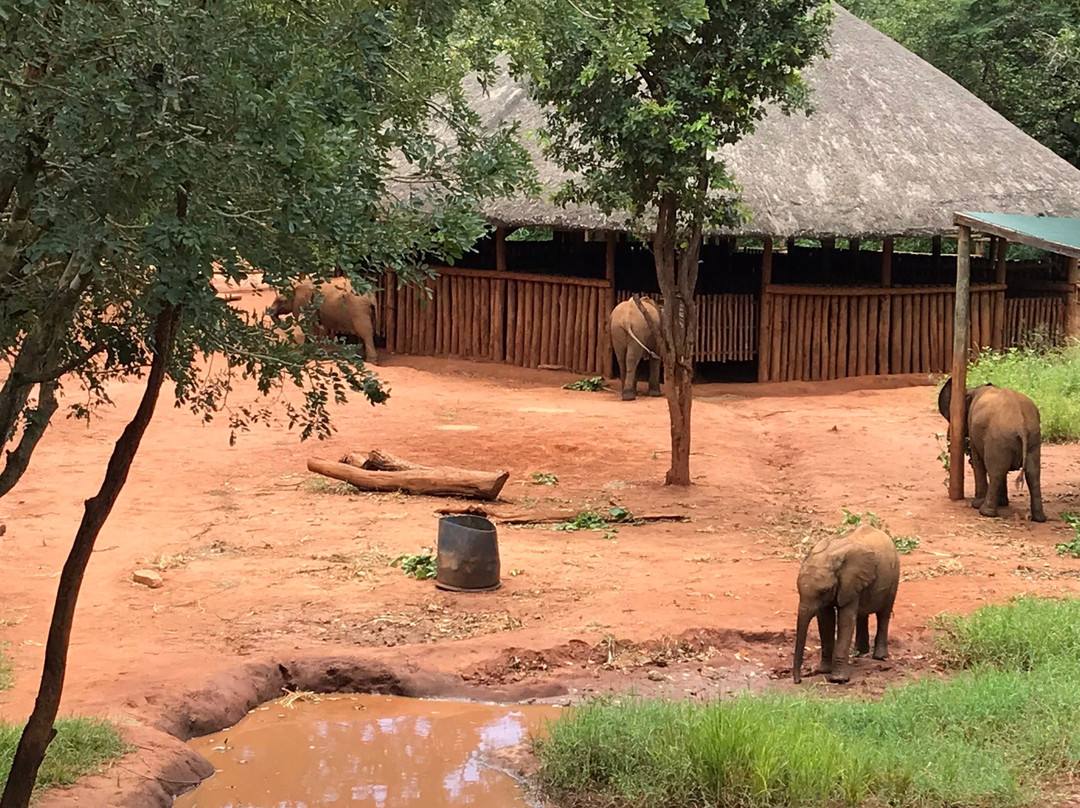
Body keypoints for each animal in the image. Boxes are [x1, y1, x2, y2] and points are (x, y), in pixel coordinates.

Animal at [793, 525, 900, 684]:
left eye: (824, 591)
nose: (798, 681)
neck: (828, 557)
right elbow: (826, 620)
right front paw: (822, 670)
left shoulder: (850, 582)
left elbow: (846, 620)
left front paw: (838, 679)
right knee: (862, 614)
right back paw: (859, 653)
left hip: (894, 576)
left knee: (884, 614)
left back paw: (879, 657)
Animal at [937, 379, 1045, 522]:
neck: (974, 389)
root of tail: (1021, 425)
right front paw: (1003, 503)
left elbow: (977, 461)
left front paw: (977, 504)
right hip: (1032, 438)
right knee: (1033, 473)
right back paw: (1039, 518)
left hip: (998, 437)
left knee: (996, 472)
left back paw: (985, 512)